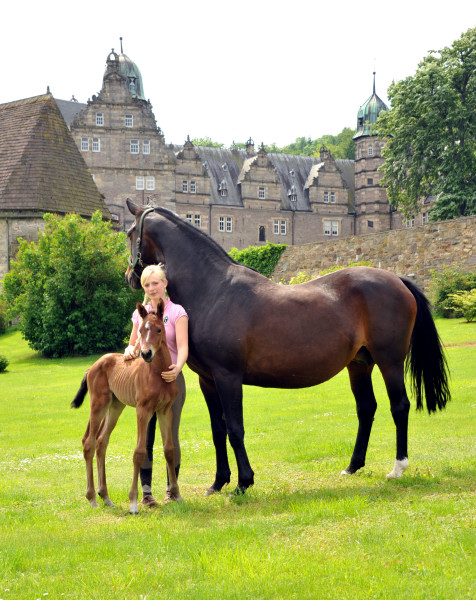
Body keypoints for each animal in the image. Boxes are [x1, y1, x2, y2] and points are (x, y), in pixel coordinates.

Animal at [71, 300, 181, 510]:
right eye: (141, 331)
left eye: (159, 329)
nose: (145, 353)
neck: (158, 373)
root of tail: (92, 366)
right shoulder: (143, 410)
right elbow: (139, 452)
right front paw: (133, 502)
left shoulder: (165, 410)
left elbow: (169, 450)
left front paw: (177, 494)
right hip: (98, 404)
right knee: (89, 442)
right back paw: (92, 498)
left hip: (115, 407)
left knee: (101, 441)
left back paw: (105, 496)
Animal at [123, 199, 450, 494]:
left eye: (128, 232)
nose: (130, 277)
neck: (213, 291)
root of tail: (397, 279)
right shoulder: (208, 381)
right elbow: (218, 432)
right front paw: (218, 483)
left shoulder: (228, 378)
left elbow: (235, 429)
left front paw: (243, 482)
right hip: (360, 364)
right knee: (366, 408)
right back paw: (353, 466)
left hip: (389, 361)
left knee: (400, 406)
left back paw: (398, 468)